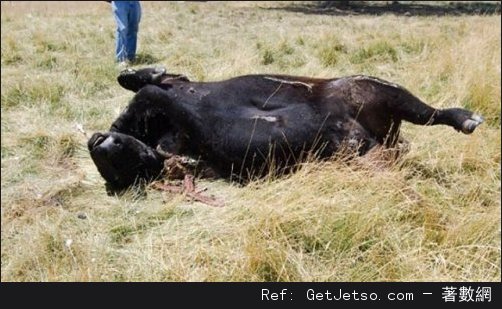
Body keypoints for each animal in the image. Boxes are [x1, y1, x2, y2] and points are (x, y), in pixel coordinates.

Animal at [88, 66, 484, 189]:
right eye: (121, 168)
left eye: (118, 153)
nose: (96, 142)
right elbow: (153, 94)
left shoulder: (175, 87)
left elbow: (144, 85)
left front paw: (146, 73)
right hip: (377, 139)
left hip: (380, 88)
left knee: (433, 113)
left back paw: (464, 117)